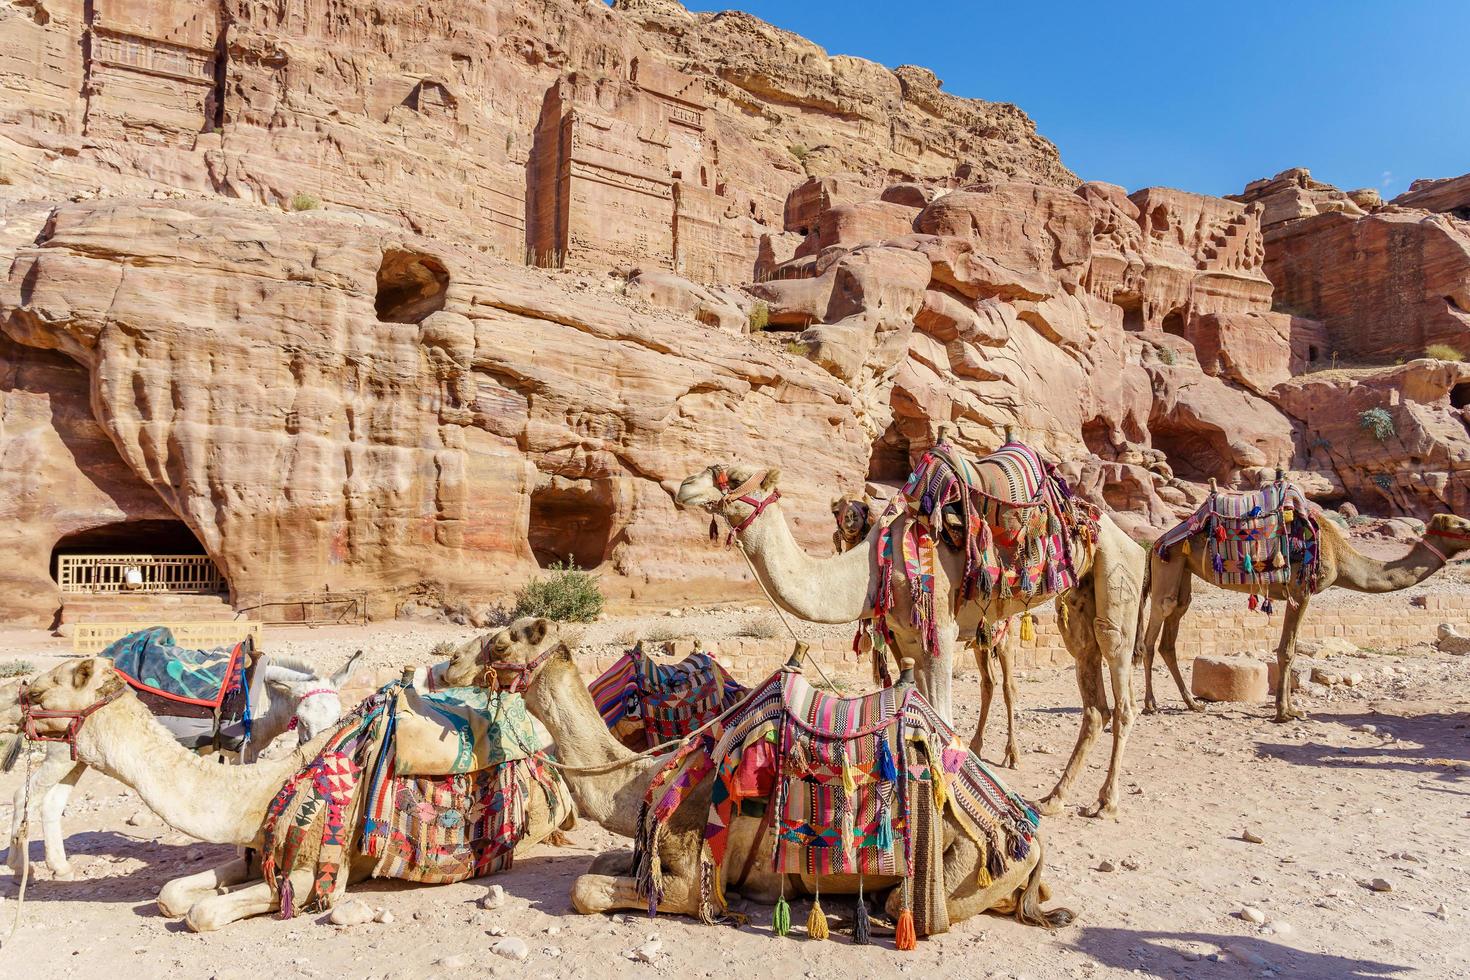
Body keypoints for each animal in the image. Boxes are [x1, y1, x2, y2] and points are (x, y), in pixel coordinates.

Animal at [7, 652, 363, 881]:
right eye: (301, 720)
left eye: (339, 716)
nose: (325, 750)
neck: (261, 702)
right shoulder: (241, 751)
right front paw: (242, 854)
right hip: (60, 752)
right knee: (24, 795)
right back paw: (20, 868)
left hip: (77, 754)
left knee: (51, 803)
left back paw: (60, 868)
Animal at [441, 617, 1076, 934]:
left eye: (502, 639)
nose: (448, 663)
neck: (641, 784)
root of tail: (1027, 835)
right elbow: (606, 861)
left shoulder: (697, 874)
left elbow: (589, 889)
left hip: (963, 861)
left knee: (909, 904)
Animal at [676, 464, 1146, 816]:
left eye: (735, 475)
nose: (683, 486)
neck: (872, 569)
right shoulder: (908, 643)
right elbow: (922, 715)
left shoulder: (940, 633)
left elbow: (943, 717)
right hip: (1076, 603)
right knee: (1091, 696)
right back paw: (1054, 798)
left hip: (1117, 581)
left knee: (1119, 689)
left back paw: (1104, 802)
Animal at [1140, 514, 1470, 719]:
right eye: (1462, 526)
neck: (1340, 555)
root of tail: (1156, 542)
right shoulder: (1301, 593)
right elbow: (1287, 651)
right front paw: (1286, 713)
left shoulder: (1295, 595)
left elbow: (1291, 650)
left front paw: (1287, 709)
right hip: (1169, 564)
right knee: (1154, 627)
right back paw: (1150, 705)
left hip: (1183, 569)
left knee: (1173, 626)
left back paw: (1192, 703)